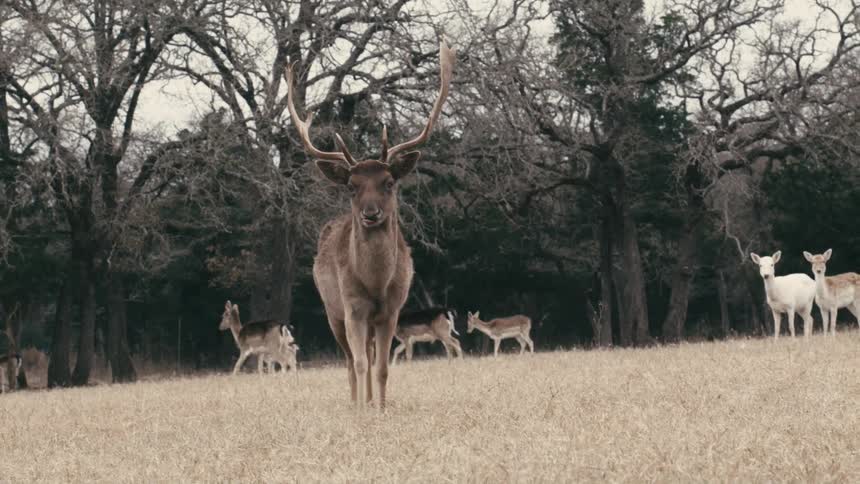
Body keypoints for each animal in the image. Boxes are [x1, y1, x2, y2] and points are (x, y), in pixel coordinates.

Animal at [287, 41, 455, 409]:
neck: (376, 284)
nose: (371, 213)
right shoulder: (351, 307)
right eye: (352, 186)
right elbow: (362, 363)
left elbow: (382, 367)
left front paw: (381, 406)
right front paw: (364, 408)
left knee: (370, 354)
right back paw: (354, 402)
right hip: (331, 310)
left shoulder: (392, 310)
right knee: (351, 360)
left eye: (389, 182)